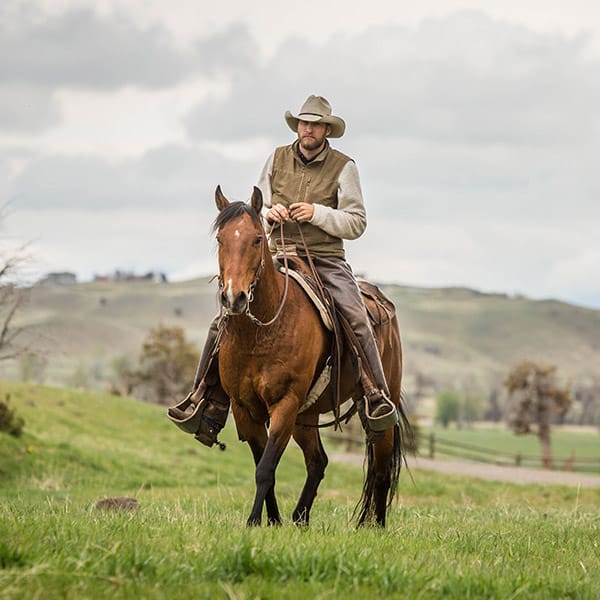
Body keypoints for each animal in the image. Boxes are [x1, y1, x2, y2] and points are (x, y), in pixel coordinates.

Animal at [211, 185, 412, 528]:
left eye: (257, 239)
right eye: (220, 239)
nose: (234, 298)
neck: (262, 332)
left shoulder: (285, 404)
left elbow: (265, 469)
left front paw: (254, 522)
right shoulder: (244, 409)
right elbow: (264, 467)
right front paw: (272, 522)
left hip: (377, 406)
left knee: (381, 468)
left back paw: (375, 526)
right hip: (306, 417)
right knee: (318, 461)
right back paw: (300, 518)